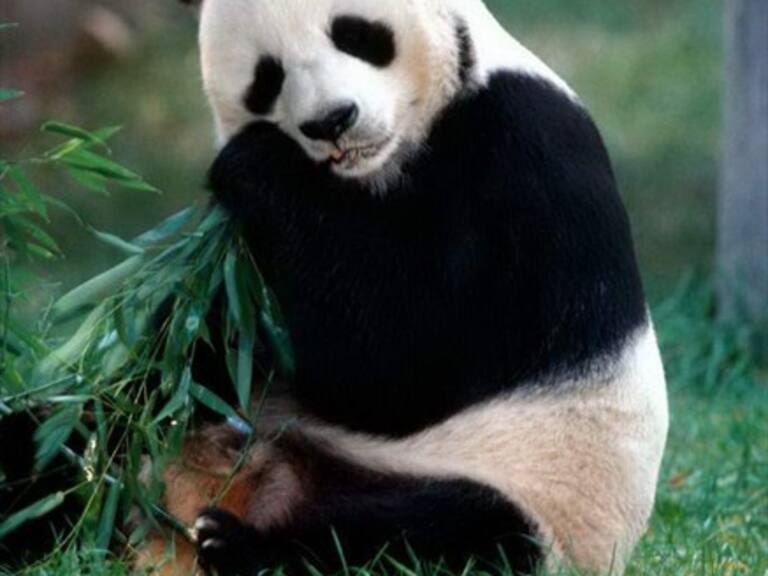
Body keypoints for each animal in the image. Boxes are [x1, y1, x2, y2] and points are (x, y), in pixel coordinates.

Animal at [138, 0, 670, 574]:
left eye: (356, 35)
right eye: (267, 78)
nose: (332, 121)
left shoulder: (524, 153)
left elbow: (398, 360)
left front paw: (254, 159)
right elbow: (217, 334)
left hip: (543, 499)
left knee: (438, 533)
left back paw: (241, 545)